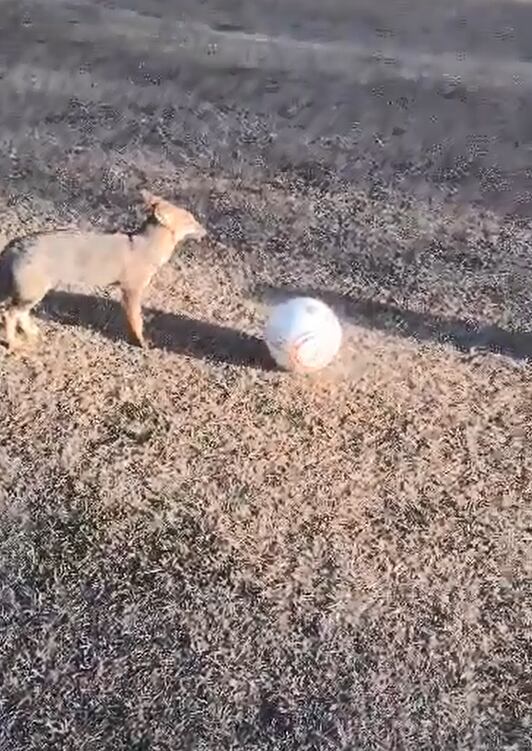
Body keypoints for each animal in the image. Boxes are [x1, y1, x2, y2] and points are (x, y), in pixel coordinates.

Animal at [0, 191, 206, 350]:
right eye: (191, 220)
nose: (205, 230)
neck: (145, 245)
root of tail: (14, 244)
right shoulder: (131, 291)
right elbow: (136, 321)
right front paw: (141, 342)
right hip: (31, 294)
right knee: (10, 314)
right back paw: (13, 343)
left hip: (33, 294)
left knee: (20, 314)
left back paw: (32, 333)